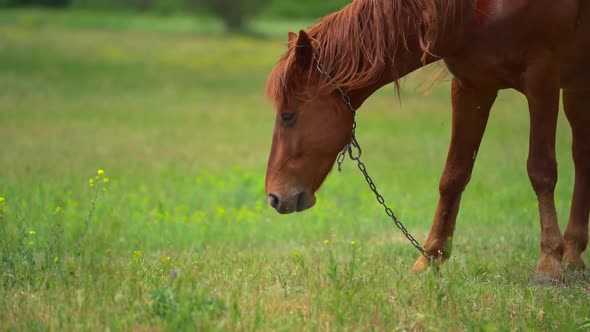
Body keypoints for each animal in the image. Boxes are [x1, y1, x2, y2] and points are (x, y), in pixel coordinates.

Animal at [264, 0, 590, 286]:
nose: (274, 197)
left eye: (288, 115)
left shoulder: (542, 81)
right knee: (582, 157)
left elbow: (541, 171)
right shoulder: (472, 87)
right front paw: (430, 259)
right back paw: (574, 257)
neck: (476, 10)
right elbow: (453, 176)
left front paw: (548, 263)